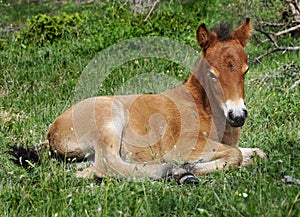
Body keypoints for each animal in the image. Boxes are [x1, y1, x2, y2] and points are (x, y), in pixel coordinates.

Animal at [11, 18, 264, 182]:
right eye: (212, 74)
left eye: (246, 70)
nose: (238, 115)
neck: (202, 107)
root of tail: (52, 131)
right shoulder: (182, 144)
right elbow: (236, 154)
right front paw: (189, 166)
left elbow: (255, 153)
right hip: (110, 121)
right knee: (108, 165)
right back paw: (177, 172)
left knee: (89, 168)